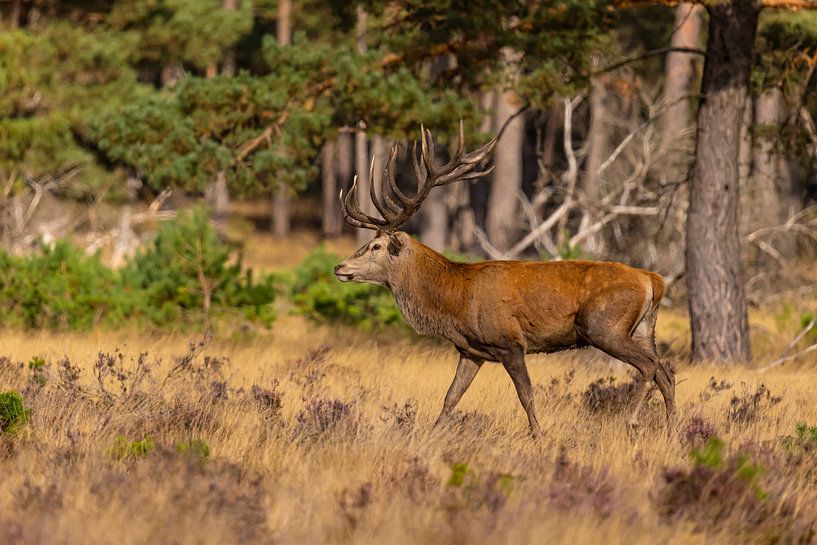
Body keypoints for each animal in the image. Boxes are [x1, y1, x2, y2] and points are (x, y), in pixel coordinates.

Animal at [333, 122, 676, 437]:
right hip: (642, 328)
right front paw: (431, 435)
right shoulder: (471, 351)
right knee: (666, 372)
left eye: (376, 247)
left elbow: (526, 395)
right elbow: (450, 397)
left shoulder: (509, 342)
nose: (339, 267)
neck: (455, 301)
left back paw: (631, 420)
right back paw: (672, 431)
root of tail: (653, 280)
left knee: (649, 366)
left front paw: (538, 435)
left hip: (604, 326)